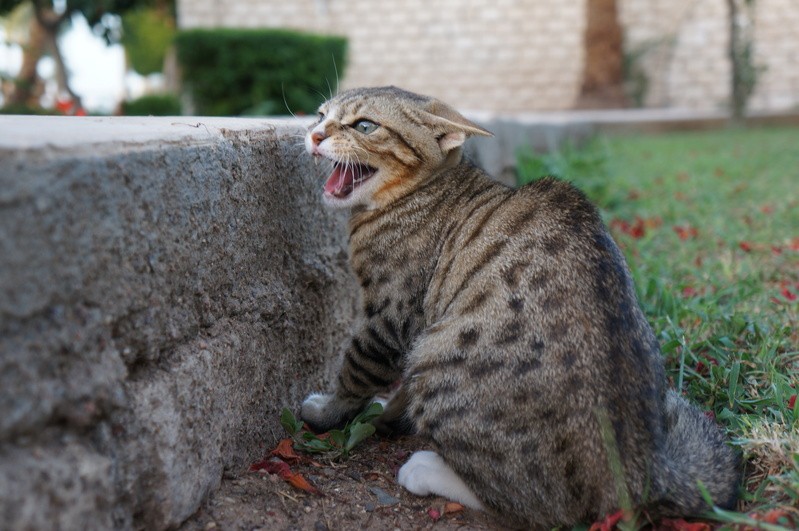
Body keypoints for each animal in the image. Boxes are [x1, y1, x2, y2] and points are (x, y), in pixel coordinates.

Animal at [302, 86, 744, 528]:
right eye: (321, 115)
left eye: (364, 126)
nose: (315, 134)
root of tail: (642, 467)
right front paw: (386, 411)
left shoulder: (390, 317)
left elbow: (355, 370)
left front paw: (328, 411)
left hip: (438, 361)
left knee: (533, 503)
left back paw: (429, 469)